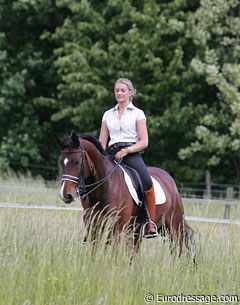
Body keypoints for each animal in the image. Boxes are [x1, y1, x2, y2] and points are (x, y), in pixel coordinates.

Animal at [55, 132, 195, 255]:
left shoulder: (117, 228)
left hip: (174, 228)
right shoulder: (94, 227)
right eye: (61, 162)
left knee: (177, 250)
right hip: (142, 231)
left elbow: (113, 254)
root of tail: (169, 179)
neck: (105, 188)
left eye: (76, 162)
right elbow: (94, 252)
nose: (65, 195)